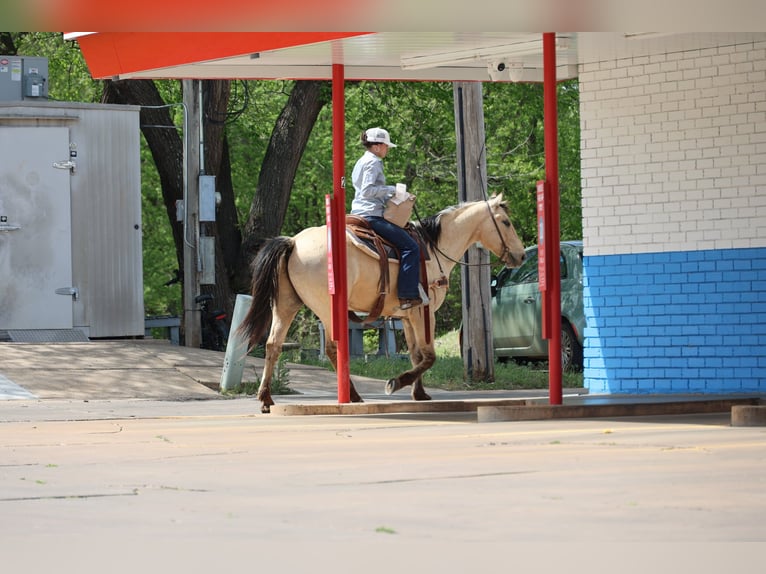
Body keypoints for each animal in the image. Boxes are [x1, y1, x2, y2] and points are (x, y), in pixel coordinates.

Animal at [239, 194, 525, 413]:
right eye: (506, 222)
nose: (521, 255)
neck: (433, 250)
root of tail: (293, 242)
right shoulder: (424, 312)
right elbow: (429, 356)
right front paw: (397, 383)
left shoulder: (408, 316)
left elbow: (416, 354)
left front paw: (419, 394)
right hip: (325, 309)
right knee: (331, 348)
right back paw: (352, 395)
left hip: (286, 305)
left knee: (273, 345)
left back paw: (265, 398)